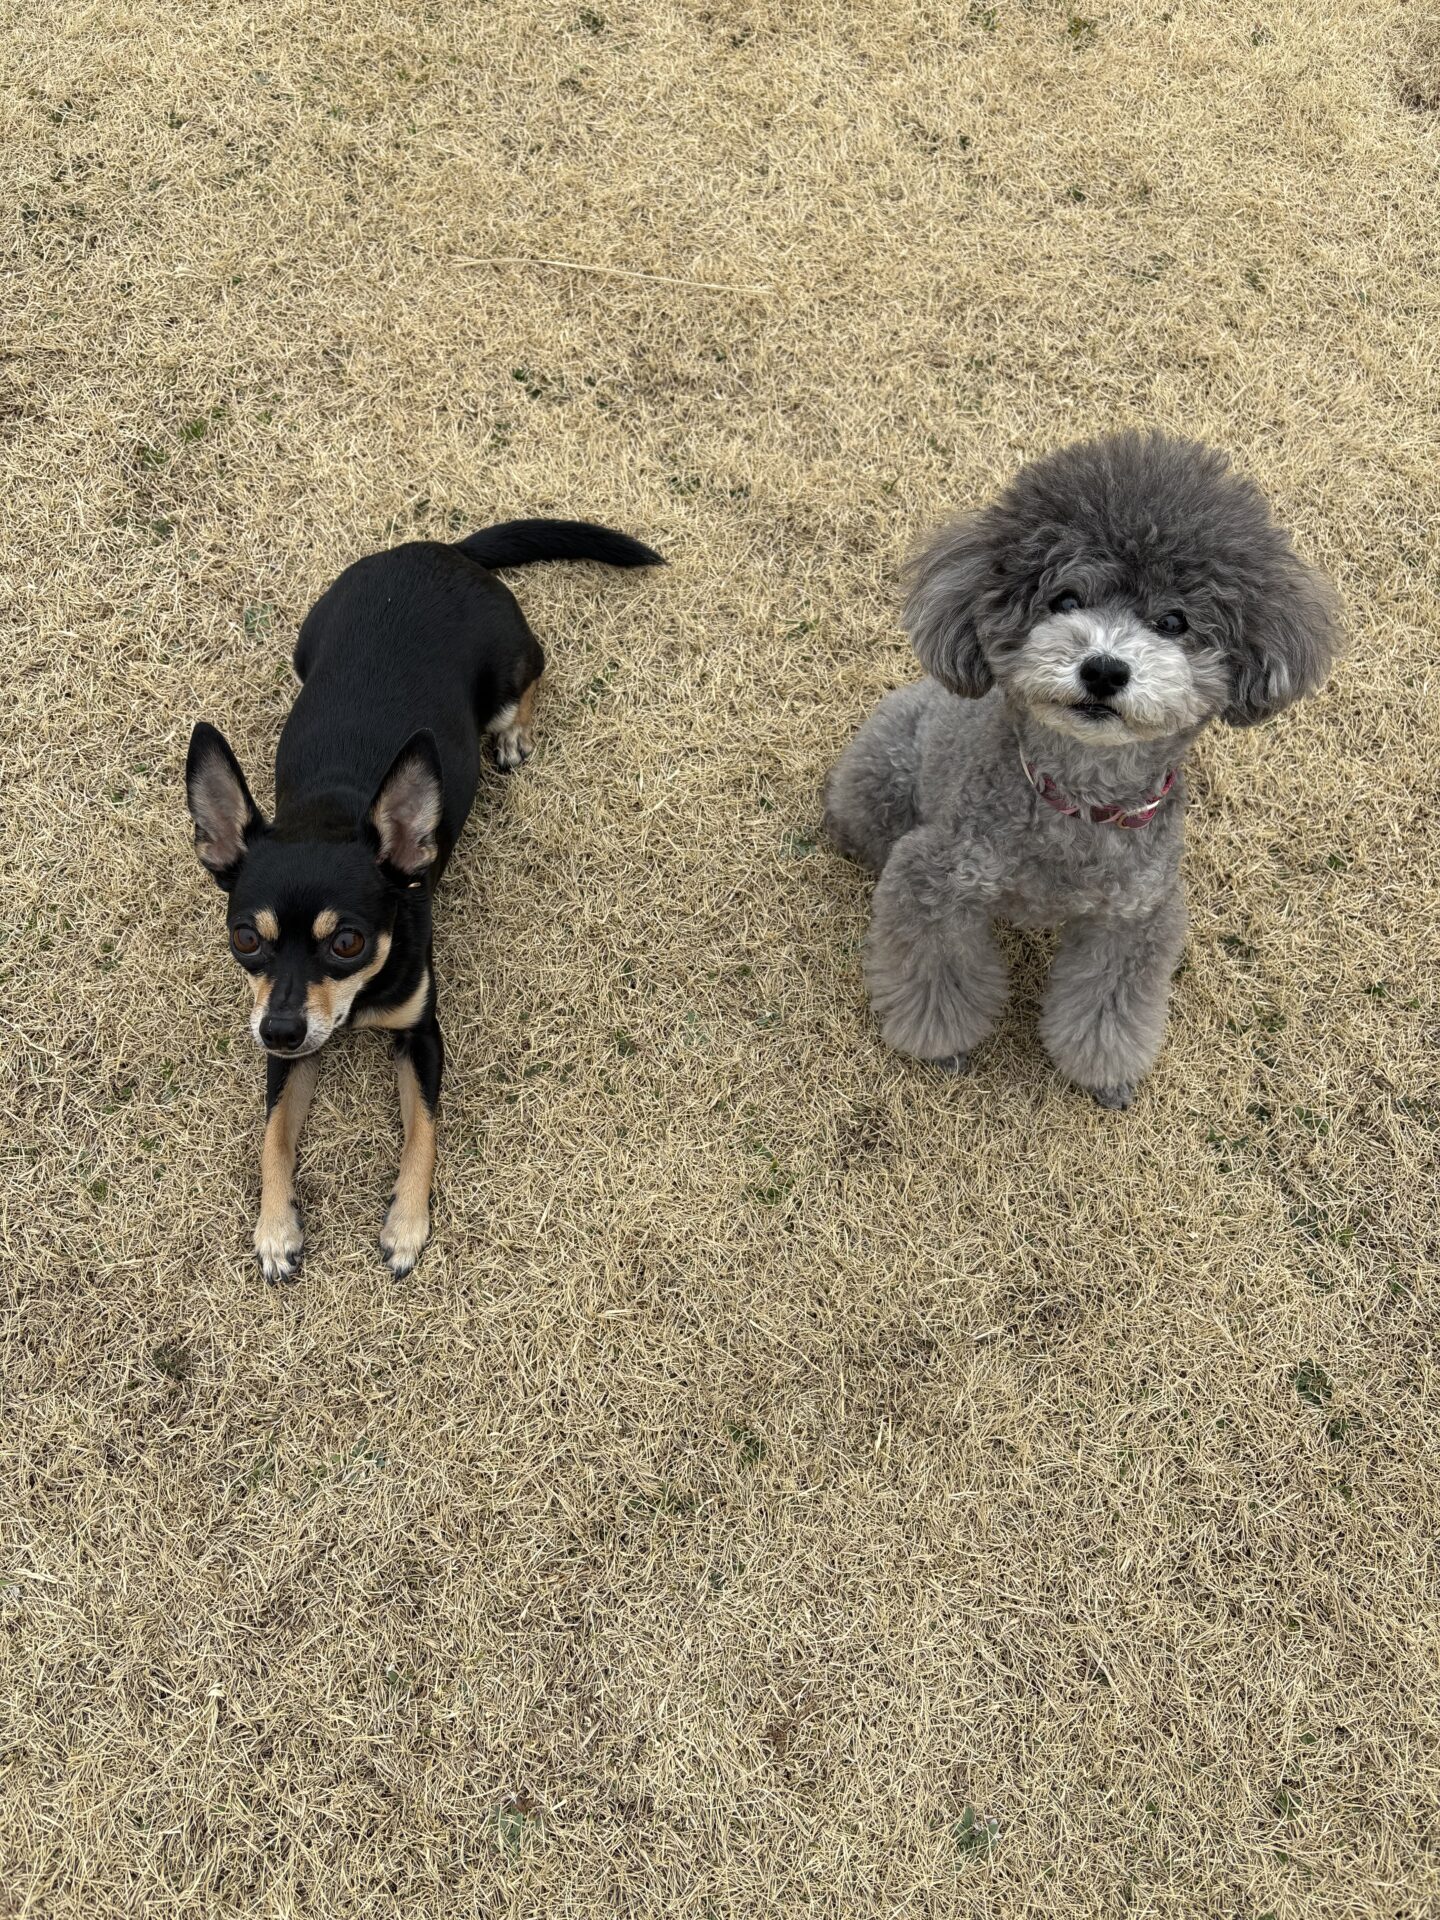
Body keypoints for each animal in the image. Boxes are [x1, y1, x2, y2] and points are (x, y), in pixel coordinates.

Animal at [185, 517, 663, 1279]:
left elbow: (424, 1134)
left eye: (347, 941)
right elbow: (273, 1135)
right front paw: (274, 1228)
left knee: (535, 675)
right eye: (246, 939)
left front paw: (406, 1226)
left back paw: (513, 734)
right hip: (305, 646)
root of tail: (444, 551)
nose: (279, 1030)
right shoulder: (288, 1053)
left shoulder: (423, 1038)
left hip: (509, 666)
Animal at [823, 431, 1340, 1107]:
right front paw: (942, 1043)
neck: (1079, 796)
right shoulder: (932, 876)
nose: (1104, 669)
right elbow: (936, 973)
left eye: (1172, 622)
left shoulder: (1136, 919)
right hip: (881, 780)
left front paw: (1107, 1073)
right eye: (1065, 599)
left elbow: (1108, 1005)